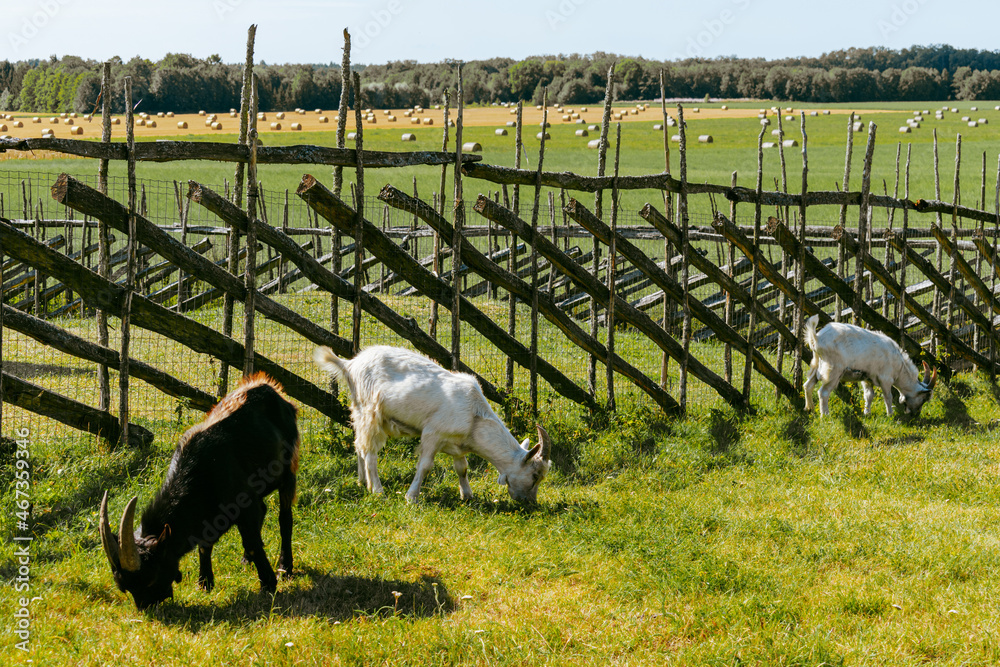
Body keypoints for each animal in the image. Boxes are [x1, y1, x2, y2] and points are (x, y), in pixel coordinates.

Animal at [99, 373, 299, 610]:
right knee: (264, 510)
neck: (200, 469)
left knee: (284, 519)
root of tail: (271, 388)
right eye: (124, 587)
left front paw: (268, 583)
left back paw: (285, 567)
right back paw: (246, 561)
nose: (147, 608)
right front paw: (205, 582)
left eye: (150, 578)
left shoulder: (244, 503)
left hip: (288, 471)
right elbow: (206, 544)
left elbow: (251, 542)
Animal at [313, 345, 551, 504]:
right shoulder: (432, 434)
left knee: (359, 445)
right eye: (534, 476)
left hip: (358, 410)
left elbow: (462, 468)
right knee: (370, 452)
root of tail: (350, 365)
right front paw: (411, 497)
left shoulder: (457, 442)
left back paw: (363, 482)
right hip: (370, 411)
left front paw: (467, 495)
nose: (530, 504)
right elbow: (425, 465)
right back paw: (378, 491)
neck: (474, 416)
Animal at [804, 314, 937, 417]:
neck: (899, 367)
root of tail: (817, 339)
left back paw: (809, 409)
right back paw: (825, 415)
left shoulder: (867, 378)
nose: (915, 414)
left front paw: (867, 413)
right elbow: (888, 397)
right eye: (924, 399)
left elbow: (869, 395)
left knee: (808, 385)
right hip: (833, 370)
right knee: (823, 392)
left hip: (816, 365)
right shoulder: (886, 379)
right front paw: (890, 414)